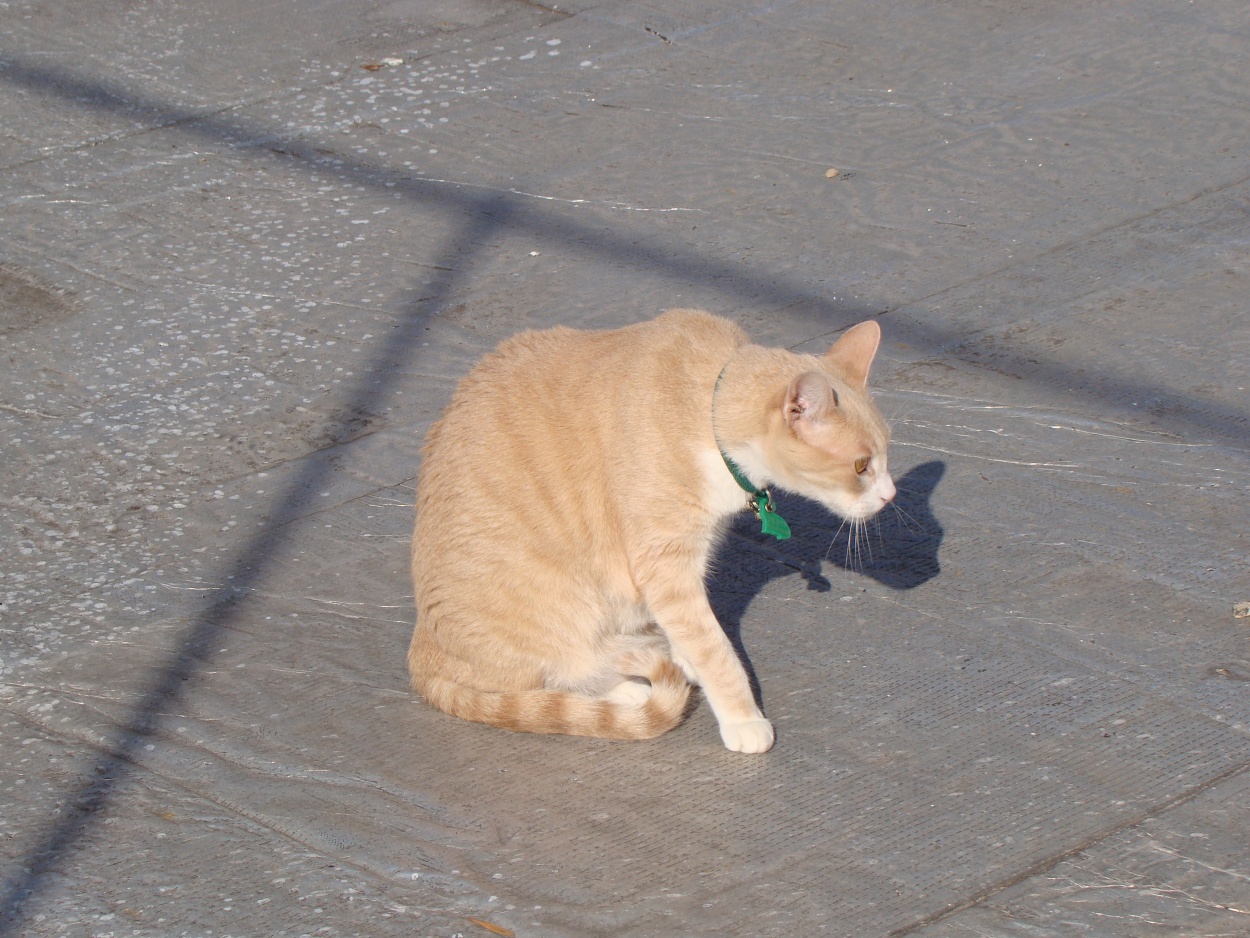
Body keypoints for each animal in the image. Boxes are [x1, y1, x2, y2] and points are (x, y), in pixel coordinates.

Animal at [407, 312, 890, 755]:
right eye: (861, 466)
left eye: (886, 452)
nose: (890, 495)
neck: (709, 412)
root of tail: (421, 649)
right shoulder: (664, 560)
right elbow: (714, 649)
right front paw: (742, 717)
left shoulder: (682, 561)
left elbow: (688, 631)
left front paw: (685, 658)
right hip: (560, 612)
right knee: (544, 683)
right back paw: (624, 689)